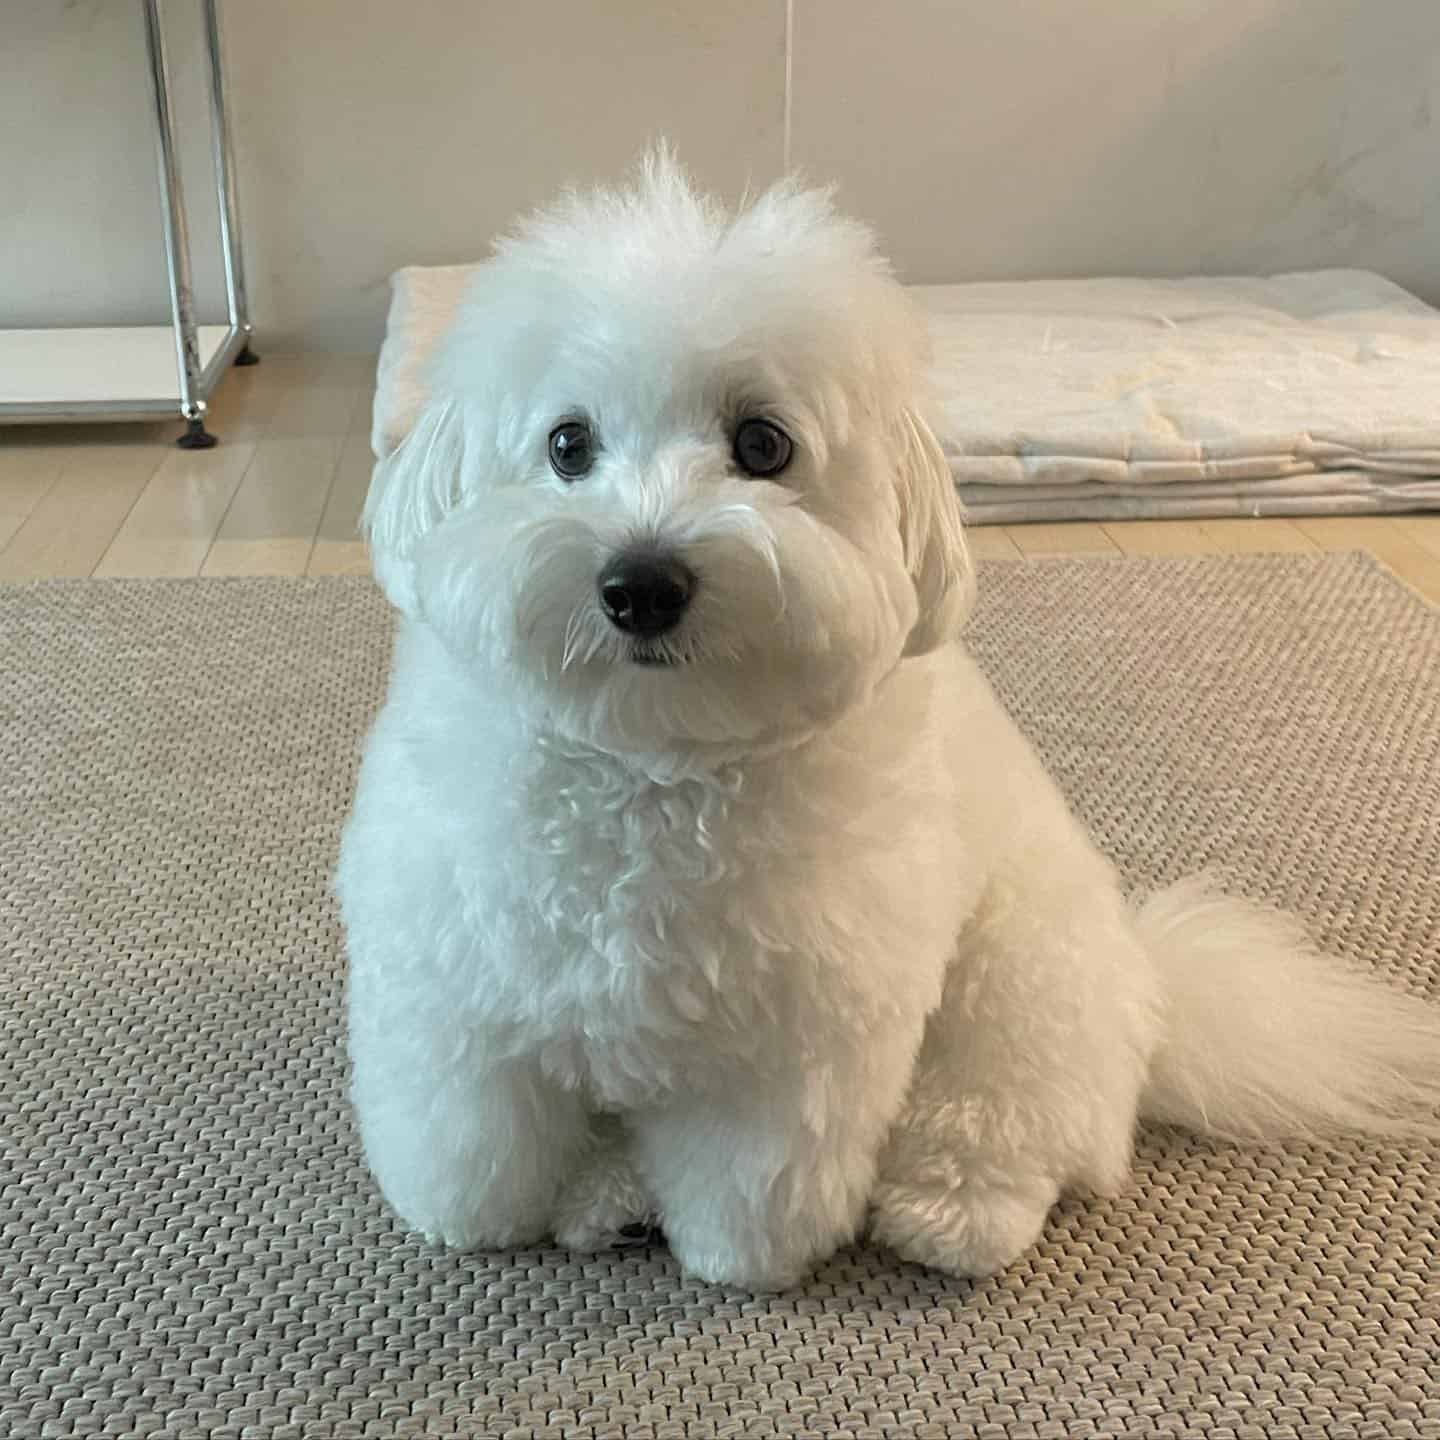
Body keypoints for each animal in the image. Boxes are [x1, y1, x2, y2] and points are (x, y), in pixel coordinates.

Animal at [339, 151, 1440, 1290]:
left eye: (762, 444)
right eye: (567, 443)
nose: (641, 583)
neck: (654, 765)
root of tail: (1156, 989)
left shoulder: (794, 1041)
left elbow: (750, 1175)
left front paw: (744, 1261)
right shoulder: (458, 988)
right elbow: (470, 1137)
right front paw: (471, 1221)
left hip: (1017, 983)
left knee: (1020, 1124)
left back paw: (952, 1211)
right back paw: (609, 1196)